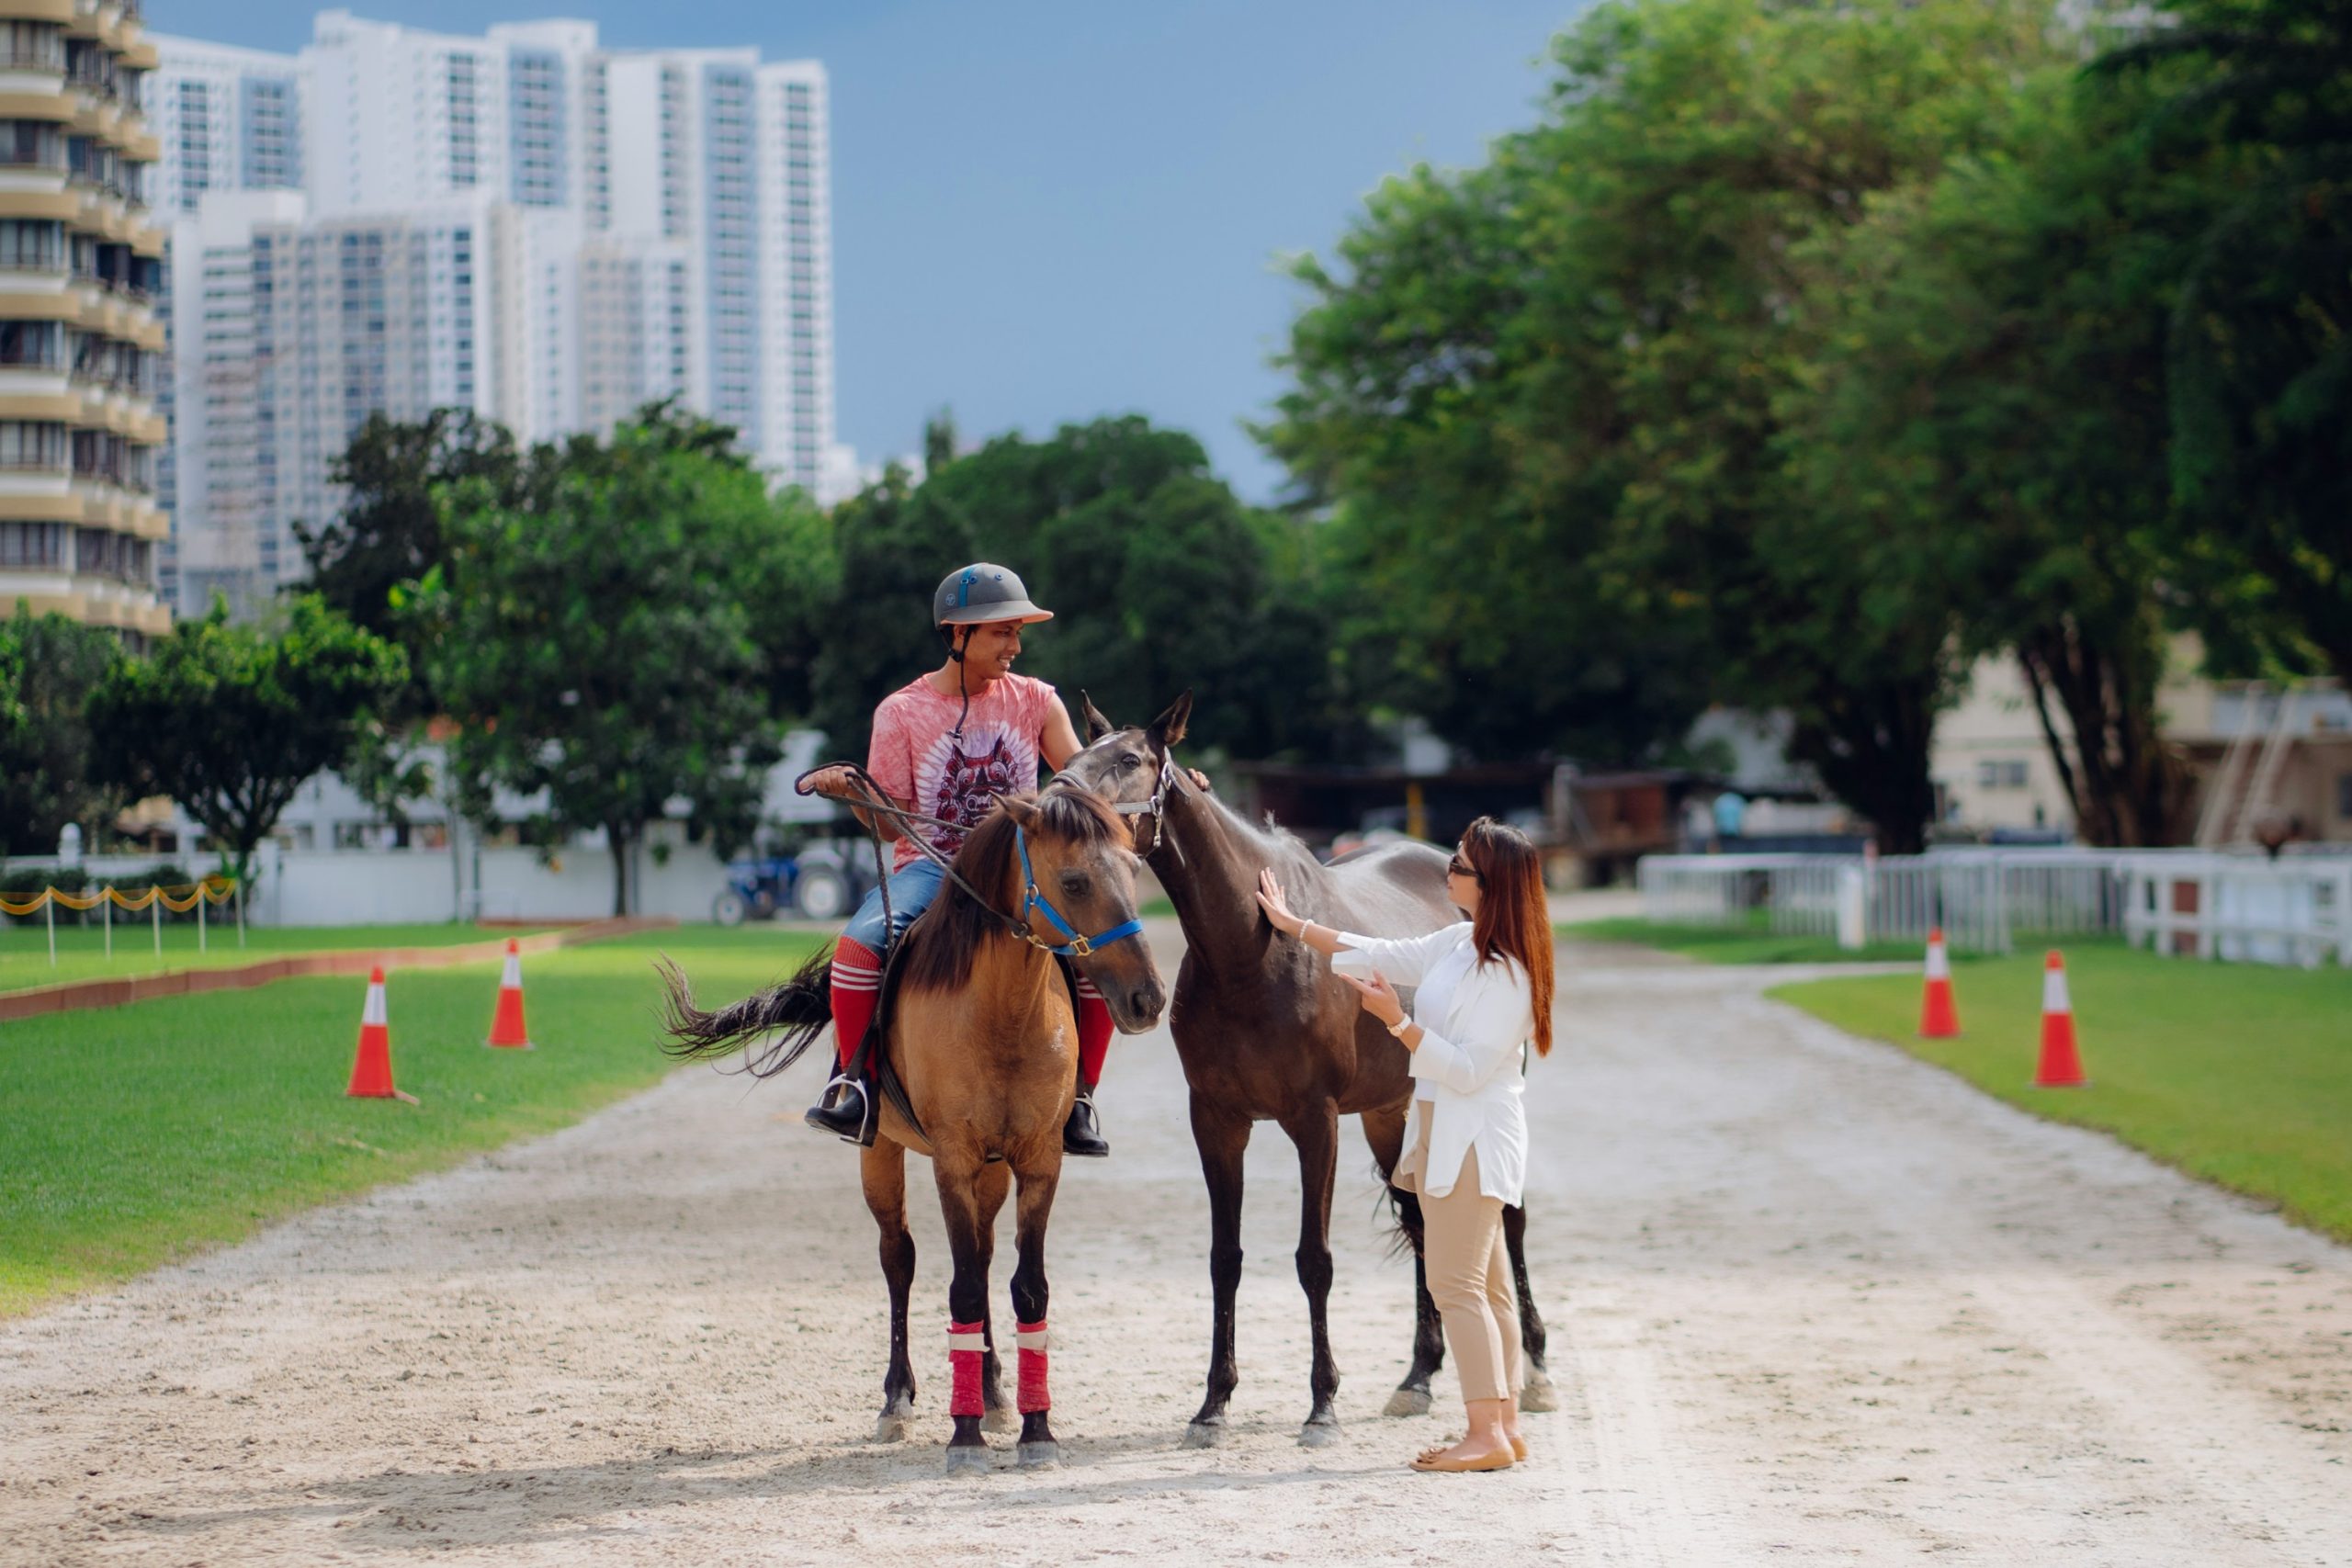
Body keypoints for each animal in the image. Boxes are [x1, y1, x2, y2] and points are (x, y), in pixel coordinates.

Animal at [653, 789, 1166, 1476]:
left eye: (1135, 871)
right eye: (1074, 880)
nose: (1149, 998)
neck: (1004, 1010)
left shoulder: (1038, 1160)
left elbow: (1026, 1287)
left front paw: (1035, 1428)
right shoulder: (951, 1158)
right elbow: (962, 1287)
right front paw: (964, 1436)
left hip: (993, 1169)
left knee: (983, 1252)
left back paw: (993, 1391)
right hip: (883, 1154)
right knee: (901, 1259)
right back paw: (898, 1399)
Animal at [1063, 691, 1543, 1457]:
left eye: (1130, 759)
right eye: (1075, 755)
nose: (1056, 800)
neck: (1249, 950)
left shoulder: (1314, 1122)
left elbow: (1313, 1260)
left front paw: (1322, 1405)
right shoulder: (1217, 1121)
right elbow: (1224, 1258)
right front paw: (1213, 1404)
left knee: (1511, 1216)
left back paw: (1536, 1369)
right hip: (1393, 1112)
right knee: (1423, 1220)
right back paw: (1418, 1375)